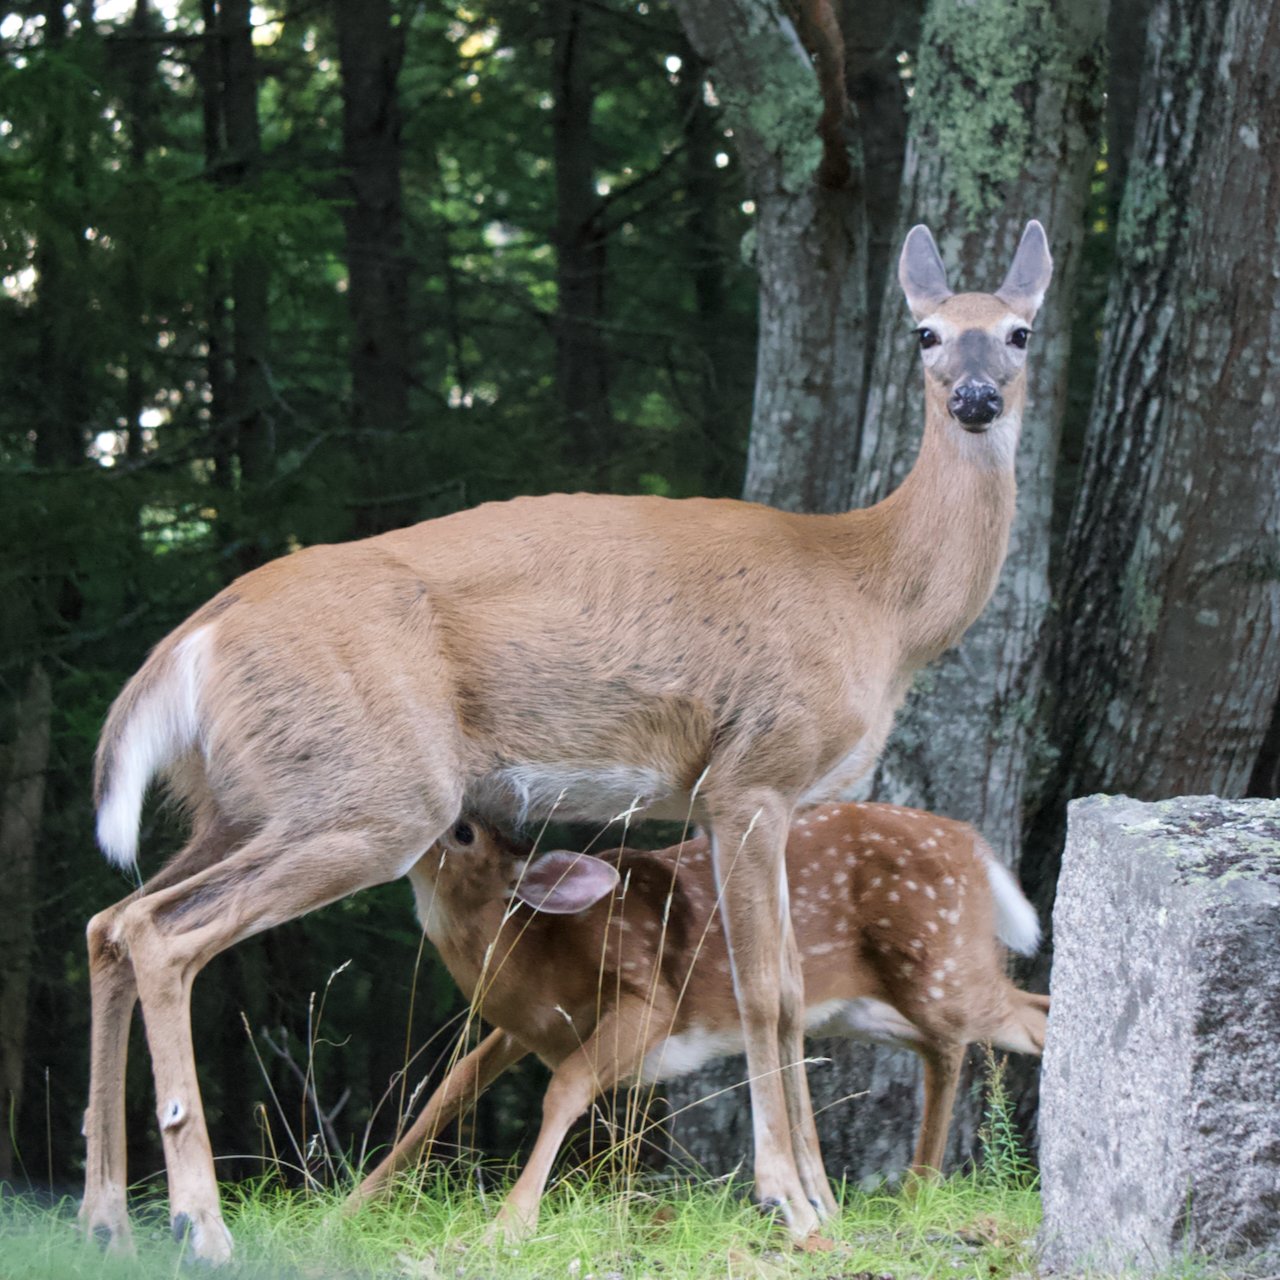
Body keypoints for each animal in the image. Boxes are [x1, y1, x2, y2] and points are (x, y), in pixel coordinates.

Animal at [350, 803, 1049, 1233]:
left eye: (463, 834)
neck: (540, 957)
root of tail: (975, 845)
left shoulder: (649, 1002)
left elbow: (565, 1088)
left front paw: (511, 1223)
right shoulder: (523, 1028)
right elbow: (451, 1088)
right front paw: (353, 1203)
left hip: (945, 964)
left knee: (1010, 1022)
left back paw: (926, 1186)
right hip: (857, 1007)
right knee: (949, 1039)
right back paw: (914, 1188)